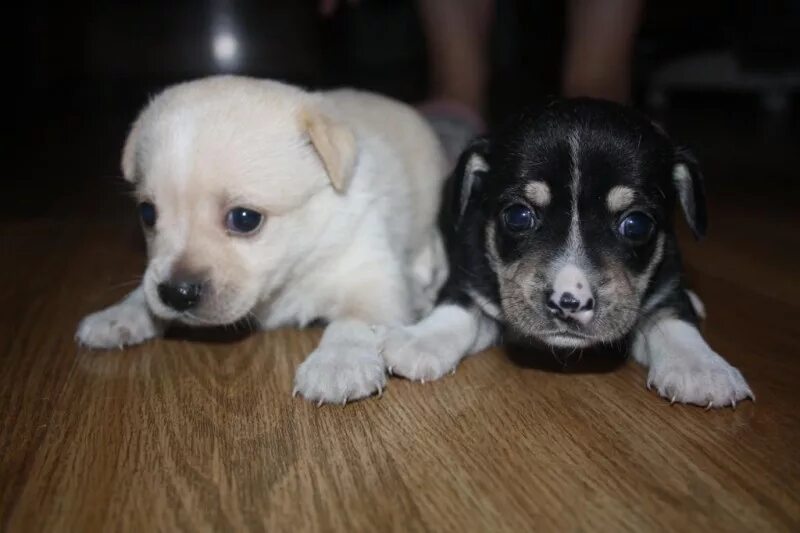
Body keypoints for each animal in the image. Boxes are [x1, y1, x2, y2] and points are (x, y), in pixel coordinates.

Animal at [76, 75, 450, 404]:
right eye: (147, 214)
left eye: (245, 219)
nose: (176, 294)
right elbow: (144, 292)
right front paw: (119, 315)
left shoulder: (372, 279)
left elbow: (353, 321)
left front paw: (338, 362)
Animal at [382, 98, 756, 408]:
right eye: (518, 216)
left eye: (636, 224)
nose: (569, 302)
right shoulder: (470, 274)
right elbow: (457, 305)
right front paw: (421, 341)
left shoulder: (667, 279)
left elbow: (675, 317)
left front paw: (701, 368)